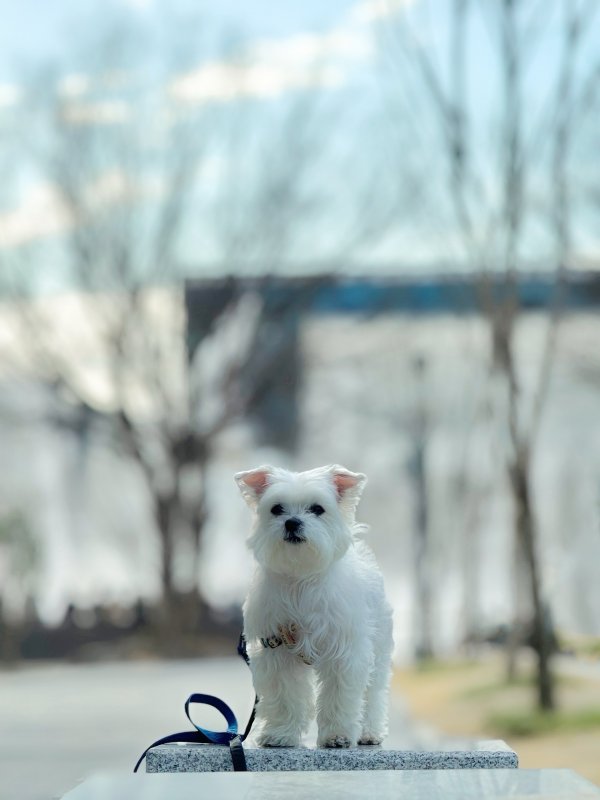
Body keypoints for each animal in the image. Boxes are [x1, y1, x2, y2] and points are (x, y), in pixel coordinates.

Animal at [234, 462, 394, 752]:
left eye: (317, 509)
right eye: (277, 509)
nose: (292, 522)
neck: (300, 578)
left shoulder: (345, 651)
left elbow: (340, 696)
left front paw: (337, 736)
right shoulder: (276, 650)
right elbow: (285, 696)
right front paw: (280, 734)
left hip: (379, 647)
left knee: (374, 693)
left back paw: (369, 732)